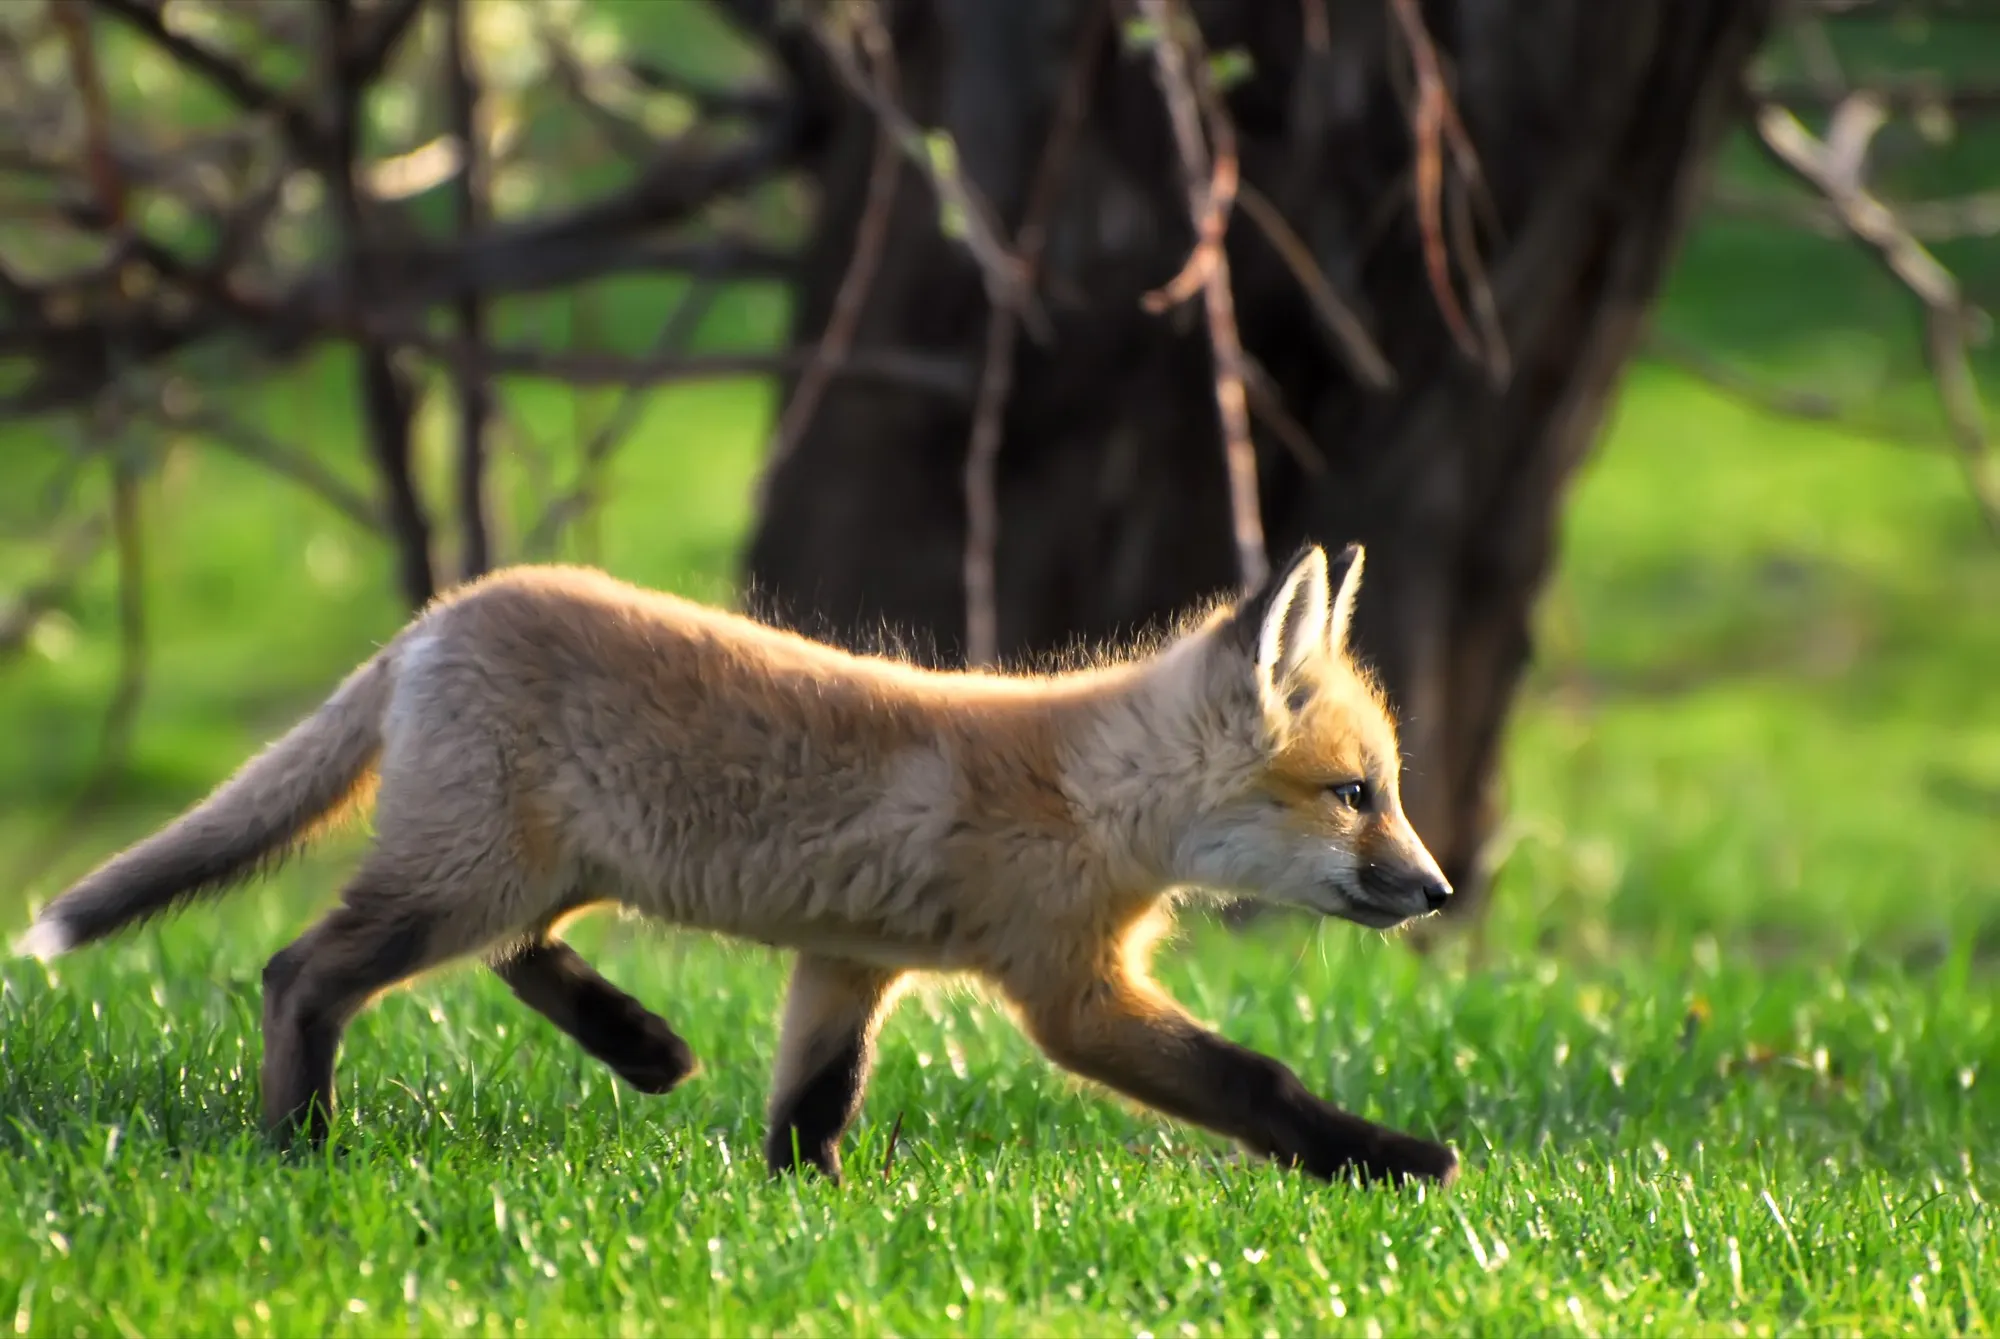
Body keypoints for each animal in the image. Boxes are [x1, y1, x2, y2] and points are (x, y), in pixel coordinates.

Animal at [14, 541, 1460, 1187]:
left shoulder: (848, 963)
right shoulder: (1071, 992)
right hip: (467, 873)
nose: (1439, 889)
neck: (1085, 796)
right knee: (299, 971)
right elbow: (1256, 1080)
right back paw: (299, 1142)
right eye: (1356, 796)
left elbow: (809, 1105)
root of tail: (440, 613)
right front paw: (1392, 1156)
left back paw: (640, 1043)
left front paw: (800, 1209)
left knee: (511, 957)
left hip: (534, 870)